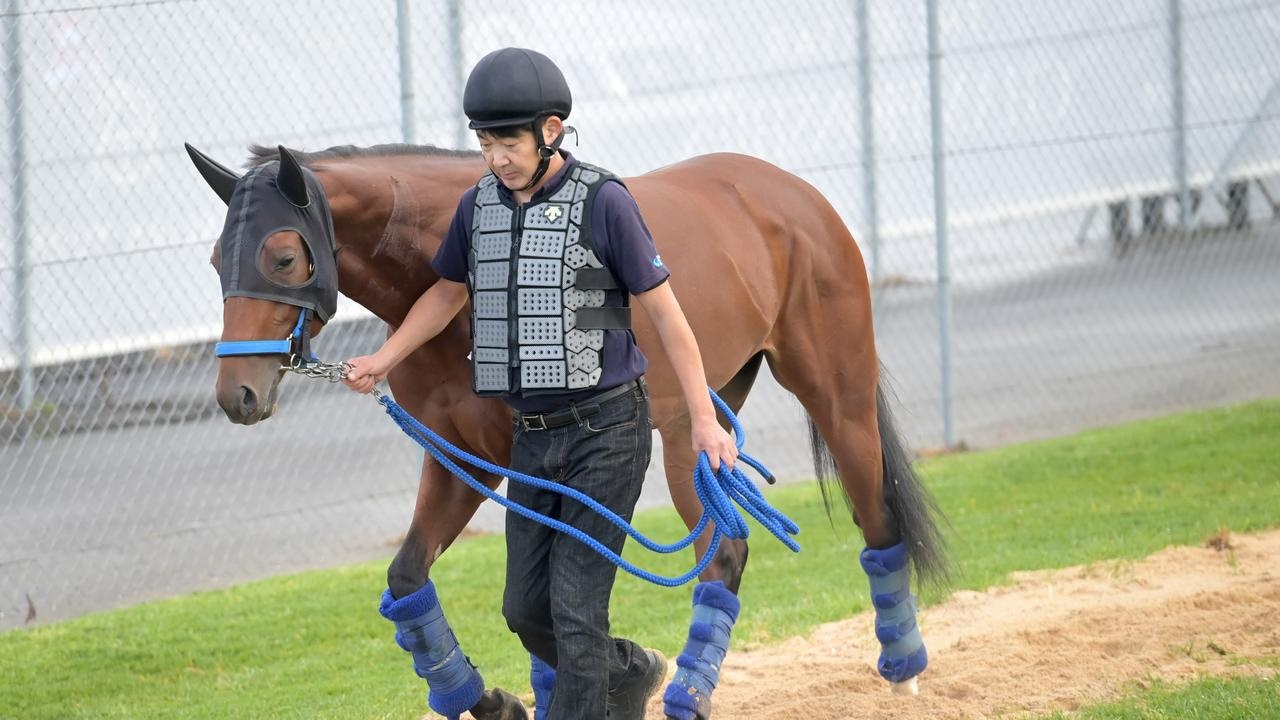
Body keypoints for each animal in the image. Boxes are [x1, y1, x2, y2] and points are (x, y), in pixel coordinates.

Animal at [189, 141, 952, 717]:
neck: (457, 294)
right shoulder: (468, 459)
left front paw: (620, 678)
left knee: (860, 521)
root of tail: (790, 192)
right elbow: (414, 578)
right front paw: (495, 699)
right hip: (700, 423)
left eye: (282, 257)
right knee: (727, 550)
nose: (237, 395)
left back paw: (897, 667)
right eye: (215, 260)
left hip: (821, 400)